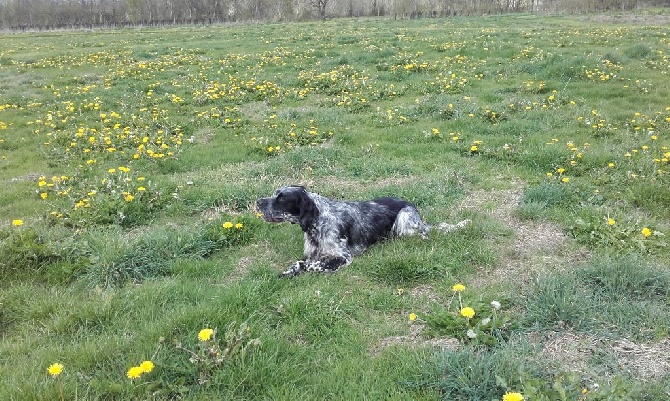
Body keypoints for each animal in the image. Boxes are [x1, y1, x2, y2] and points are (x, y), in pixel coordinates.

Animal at [258, 185, 472, 276]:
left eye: (281, 198)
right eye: (275, 194)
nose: (258, 202)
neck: (317, 222)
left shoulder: (342, 257)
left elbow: (314, 265)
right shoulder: (310, 254)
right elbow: (299, 263)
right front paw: (287, 272)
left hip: (404, 222)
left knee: (424, 236)